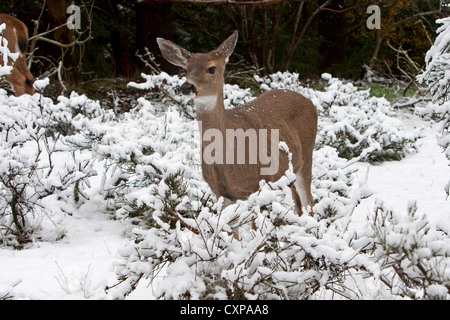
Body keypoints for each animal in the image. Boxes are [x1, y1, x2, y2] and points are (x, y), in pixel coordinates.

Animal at [156, 31, 318, 215]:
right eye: (185, 69)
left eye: (212, 68)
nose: (186, 87)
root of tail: (310, 102)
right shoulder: (220, 193)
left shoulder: (256, 186)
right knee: (298, 202)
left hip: (307, 155)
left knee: (308, 199)